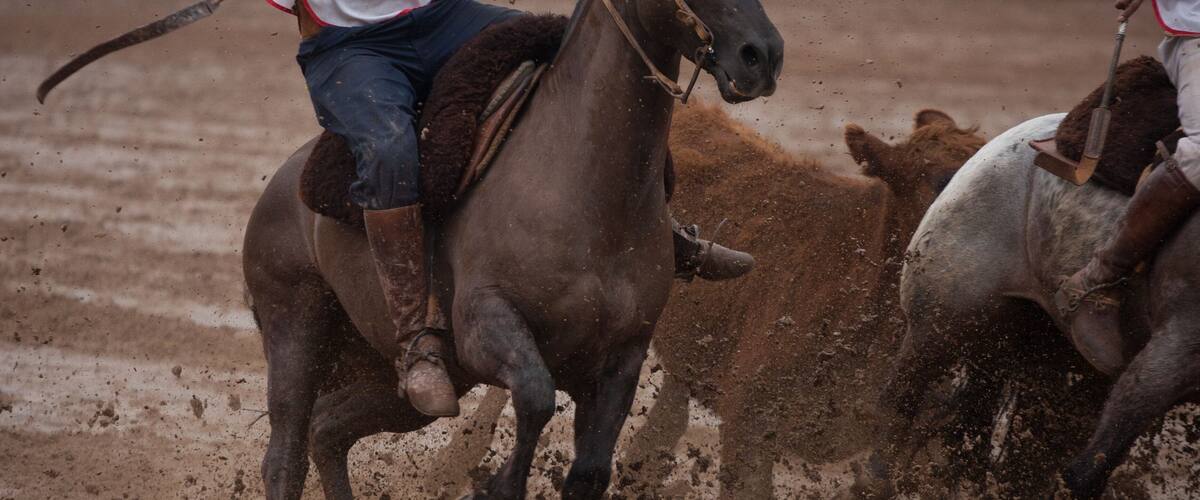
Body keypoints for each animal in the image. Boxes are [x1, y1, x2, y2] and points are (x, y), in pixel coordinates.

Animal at [875, 112, 1200, 498]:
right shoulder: (1170, 351)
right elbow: (1086, 472)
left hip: (1017, 349)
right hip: (941, 323)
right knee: (899, 398)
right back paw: (874, 476)